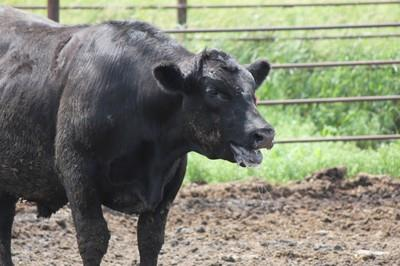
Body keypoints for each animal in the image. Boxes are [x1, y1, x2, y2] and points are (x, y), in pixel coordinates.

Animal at [0, 6, 276, 266]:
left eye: (253, 91)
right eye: (214, 91)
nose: (264, 132)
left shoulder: (171, 180)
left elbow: (150, 239)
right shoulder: (77, 171)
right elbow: (93, 239)